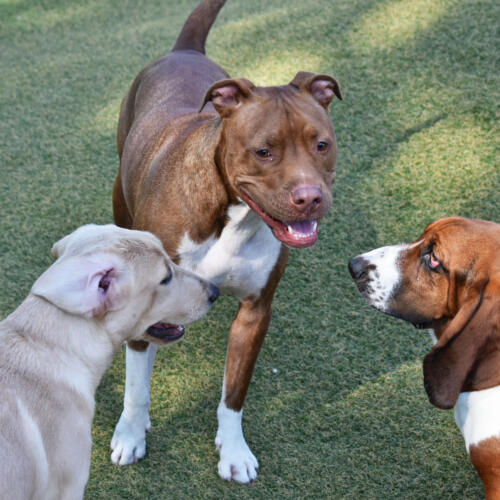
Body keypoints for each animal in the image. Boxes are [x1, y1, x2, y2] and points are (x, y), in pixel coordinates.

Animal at [111, 0, 342, 484]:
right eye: (264, 151)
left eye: (322, 144)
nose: (309, 197)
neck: (234, 219)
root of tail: (184, 50)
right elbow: (137, 386)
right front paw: (130, 434)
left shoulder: (255, 313)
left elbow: (234, 393)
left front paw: (233, 451)